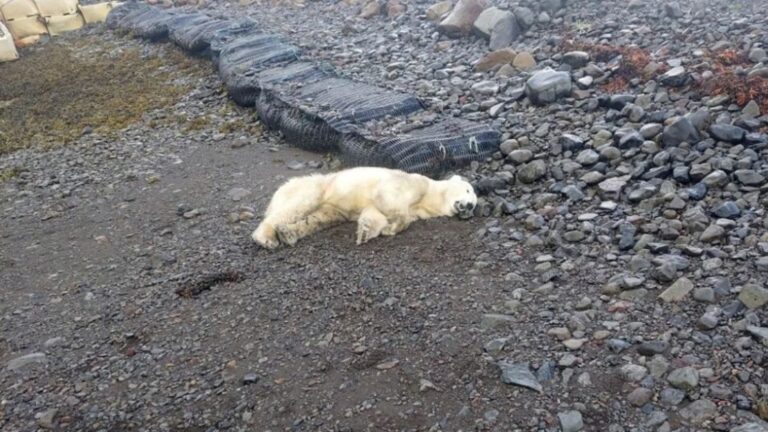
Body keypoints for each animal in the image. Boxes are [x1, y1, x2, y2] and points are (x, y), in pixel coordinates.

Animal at [251, 167, 477, 249]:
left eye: (474, 205)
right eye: (468, 190)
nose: (469, 206)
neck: (429, 196)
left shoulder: (417, 209)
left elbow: (374, 213)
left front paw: (367, 231)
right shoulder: (412, 183)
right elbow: (389, 199)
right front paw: (392, 226)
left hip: (331, 208)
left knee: (319, 218)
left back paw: (288, 234)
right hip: (316, 187)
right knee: (297, 206)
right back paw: (266, 238)